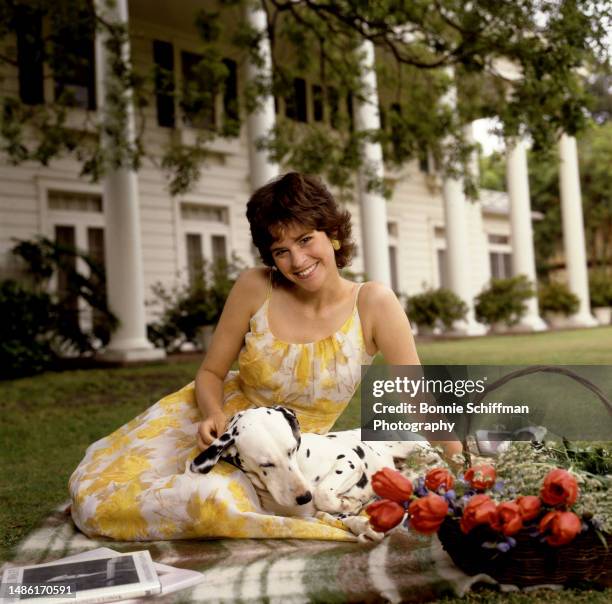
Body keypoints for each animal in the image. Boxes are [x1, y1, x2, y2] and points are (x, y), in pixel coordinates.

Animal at [189, 406, 432, 536]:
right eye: (265, 464)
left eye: (292, 450)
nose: (304, 497)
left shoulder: (350, 460)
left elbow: (323, 493)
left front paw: (347, 502)